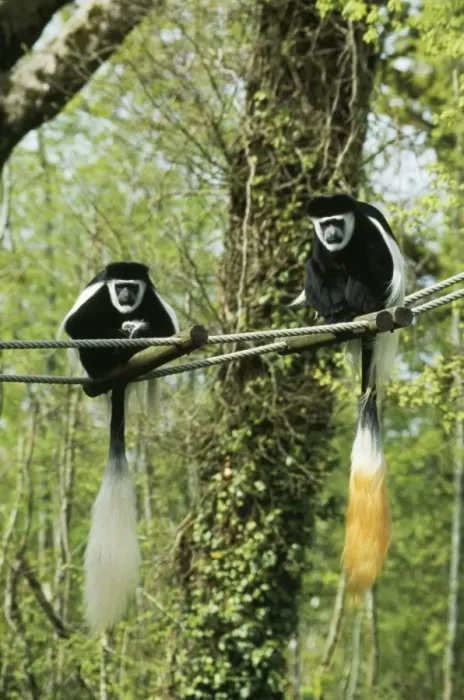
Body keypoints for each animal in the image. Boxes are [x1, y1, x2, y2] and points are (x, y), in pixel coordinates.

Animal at [60, 262, 179, 632]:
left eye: (133, 286)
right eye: (120, 286)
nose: (126, 296)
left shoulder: (151, 297)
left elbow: (168, 328)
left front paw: (138, 328)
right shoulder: (98, 297)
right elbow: (77, 325)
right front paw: (126, 329)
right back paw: (113, 356)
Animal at [291, 194, 405, 593]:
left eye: (338, 221)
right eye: (325, 225)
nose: (333, 234)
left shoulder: (367, 234)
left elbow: (373, 264)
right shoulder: (318, 243)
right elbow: (318, 266)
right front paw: (331, 308)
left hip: (378, 295)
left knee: (362, 276)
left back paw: (356, 309)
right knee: (318, 269)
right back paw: (334, 315)